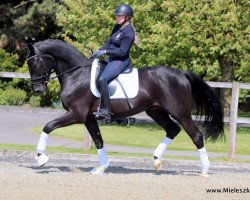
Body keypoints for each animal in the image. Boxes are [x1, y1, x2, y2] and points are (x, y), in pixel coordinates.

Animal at [26, 39, 224, 177]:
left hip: (180, 113)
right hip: (156, 111)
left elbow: (48, 126)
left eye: (34, 63)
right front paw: (102, 167)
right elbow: (98, 140)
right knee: (173, 129)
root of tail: (181, 73)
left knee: (196, 135)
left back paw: (204, 171)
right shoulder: (89, 118)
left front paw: (41, 158)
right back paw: (157, 161)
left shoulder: (77, 114)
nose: (38, 89)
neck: (76, 74)